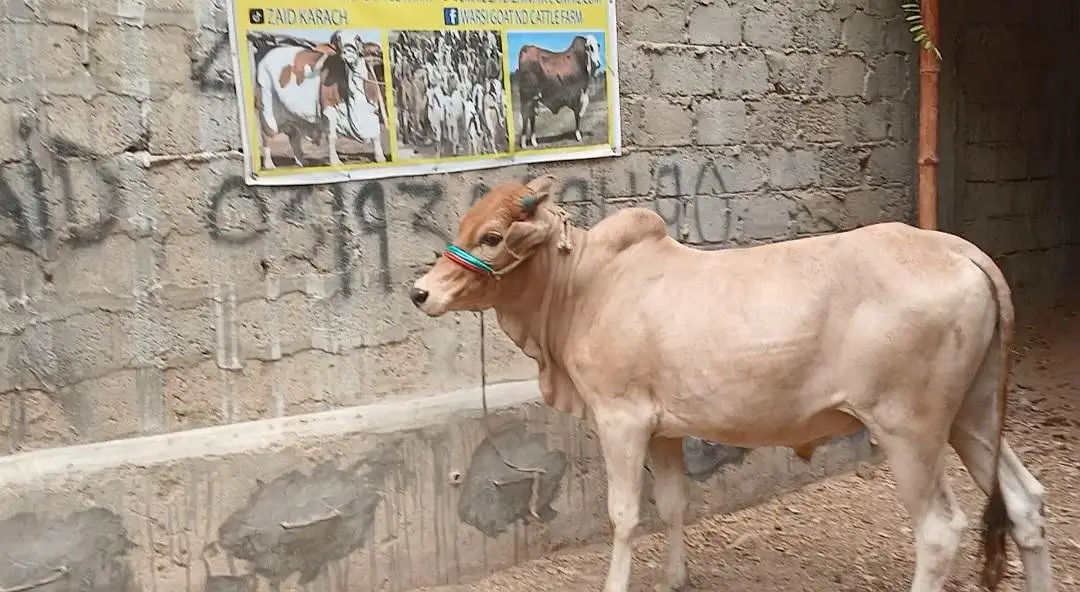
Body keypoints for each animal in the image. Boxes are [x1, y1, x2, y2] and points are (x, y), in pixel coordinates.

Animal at [250, 31, 386, 169]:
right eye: (338, 40)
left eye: (358, 38)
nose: (347, 51)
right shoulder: (329, 110)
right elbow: (332, 137)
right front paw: (335, 161)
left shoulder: (373, 109)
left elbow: (376, 135)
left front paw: (381, 158)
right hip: (267, 110)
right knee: (267, 136)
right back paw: (269, 164)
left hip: (294, 116)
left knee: (294, 137)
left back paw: (302, 161)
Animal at [408, 176, 1055, 592]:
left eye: (493, 237)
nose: (420, 292)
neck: (585, 285)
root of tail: (961, 250)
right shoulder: (664, 427)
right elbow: (672, 504)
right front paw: (676, 578)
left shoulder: (620, 419)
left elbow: (624, 515)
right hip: (972, 416)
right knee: (1026, 503)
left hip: (910, 429)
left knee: (940, 530)